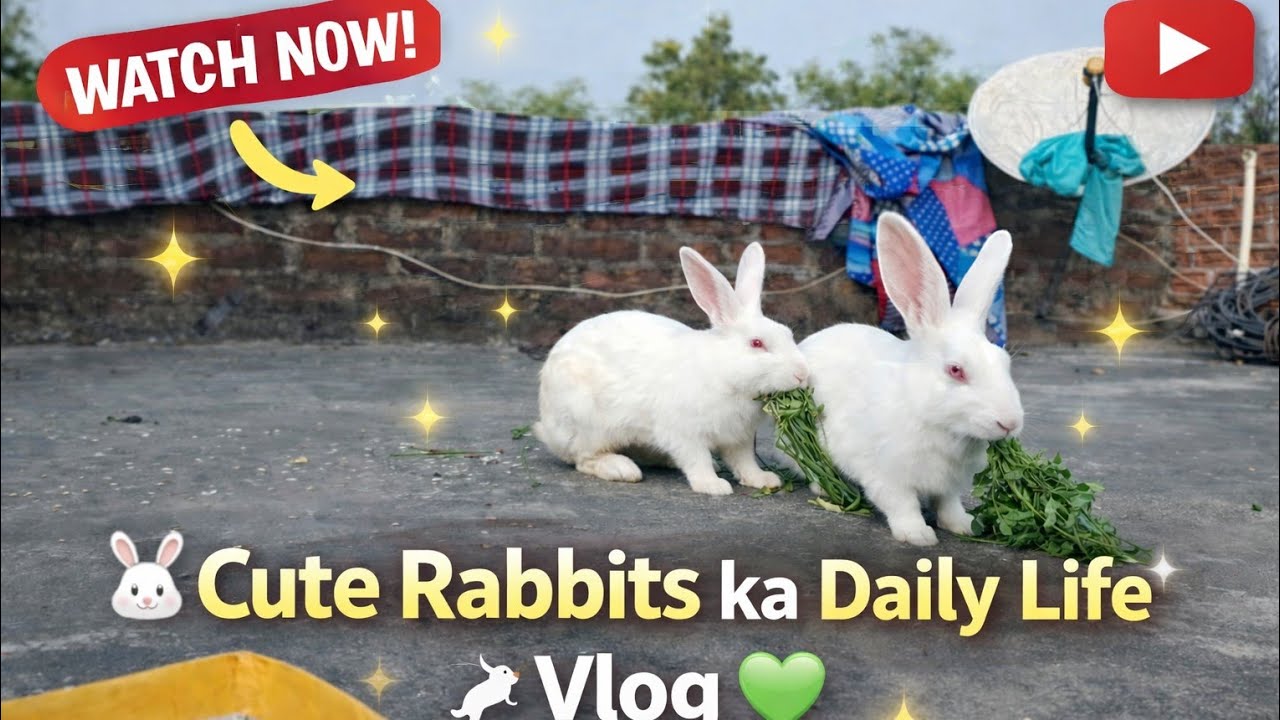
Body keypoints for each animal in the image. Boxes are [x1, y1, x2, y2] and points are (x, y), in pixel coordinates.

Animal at [533, 241, 810, 496]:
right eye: (757, 343)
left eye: (788, 334)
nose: (802, 374)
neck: (723, 372)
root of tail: (547, 428)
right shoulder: (685, 433)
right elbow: (696, 459)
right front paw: (712, 486)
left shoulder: (739, 439)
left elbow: (744, 462)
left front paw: (764, 480)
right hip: (589, 423)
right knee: (583, 458)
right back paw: (622, 469)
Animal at [799, 212, 1023, 546]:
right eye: (955, 370)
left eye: (1004, 362)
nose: (1010, 423)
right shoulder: (885, 474)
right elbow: (902, 504)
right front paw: (918, 535)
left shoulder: (950, 485)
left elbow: (948, 504)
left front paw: (964, 526)